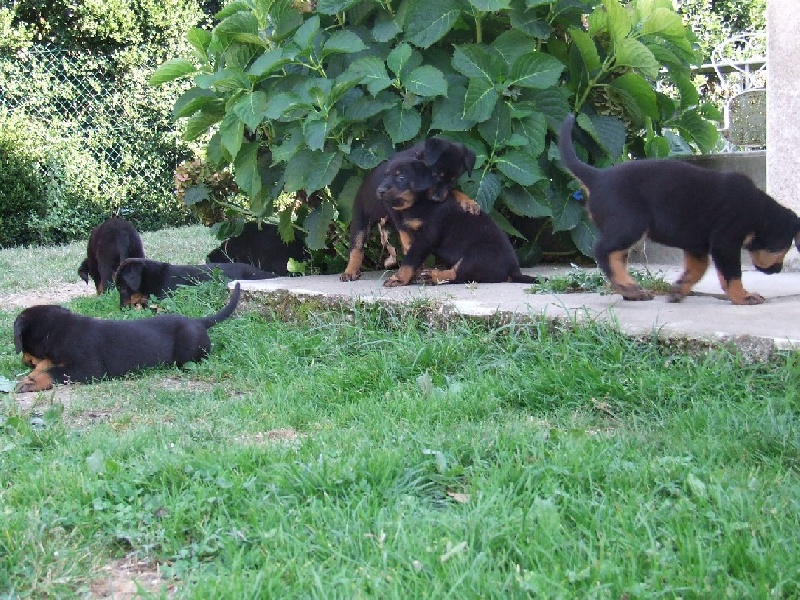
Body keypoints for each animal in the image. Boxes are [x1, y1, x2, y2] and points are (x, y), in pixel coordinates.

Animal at [13, 284, 241, 392]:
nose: (23, 362)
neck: (58, 330)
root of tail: (198, 321)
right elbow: (48, 365)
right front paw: (30, 377)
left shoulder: (89, 369)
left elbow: (55, 372)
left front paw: (32, 381)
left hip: (188, 349)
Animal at [340, 137, 478, 282]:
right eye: (435, 174)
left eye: (453, 180)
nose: (436, 199)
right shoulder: (393, 204)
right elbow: (404, 229)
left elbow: (453, 192)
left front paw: (469, 201)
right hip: (360, 219)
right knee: (356, 247)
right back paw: (350, 271)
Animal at [376, 159, 536, 288]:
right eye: (385, 176)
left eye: (401, 177)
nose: (379, 190)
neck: (416, 204)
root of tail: (514, 270)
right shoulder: (407, 235)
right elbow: (412, 258)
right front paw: (410, 276)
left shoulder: (427, 237)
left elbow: (409, 260)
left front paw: (398, 279)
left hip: (479, 253)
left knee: (459, 275)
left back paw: (432, 276)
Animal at [556, 113, 800, 304]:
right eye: (784, 245)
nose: (777, 270)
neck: (759, 213)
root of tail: (597, 177)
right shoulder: (725, 242)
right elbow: (732, 275)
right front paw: (743, 297)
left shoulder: (697, 245)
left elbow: (697, 269)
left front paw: (679, 289)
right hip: (631, 224)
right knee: (603, 251)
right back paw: (629, 287)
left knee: (616, 258)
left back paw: (629, 291)